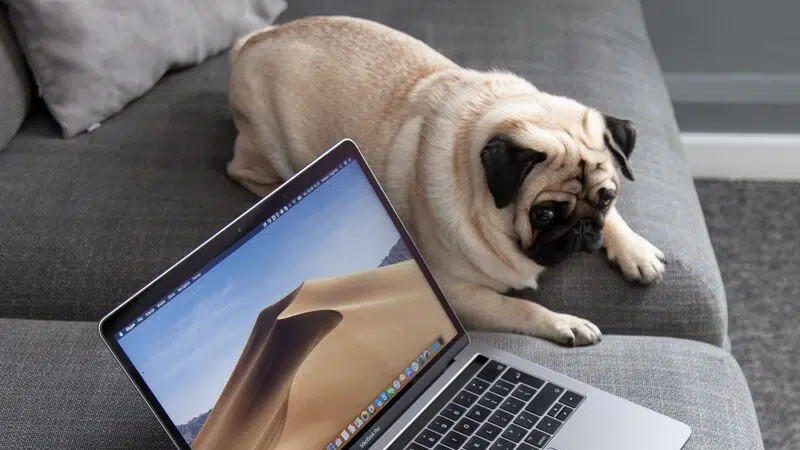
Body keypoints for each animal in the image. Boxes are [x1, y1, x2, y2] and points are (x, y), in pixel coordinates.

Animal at [225, 15, 664, 346]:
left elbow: (619, 222)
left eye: (606, 198)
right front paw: (565, 323)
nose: (583, 230)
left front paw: (635, 251)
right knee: (244, 171)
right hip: (267, 143)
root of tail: (252, 41)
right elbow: (521, 306)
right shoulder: (457, 293)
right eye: (543, 214)